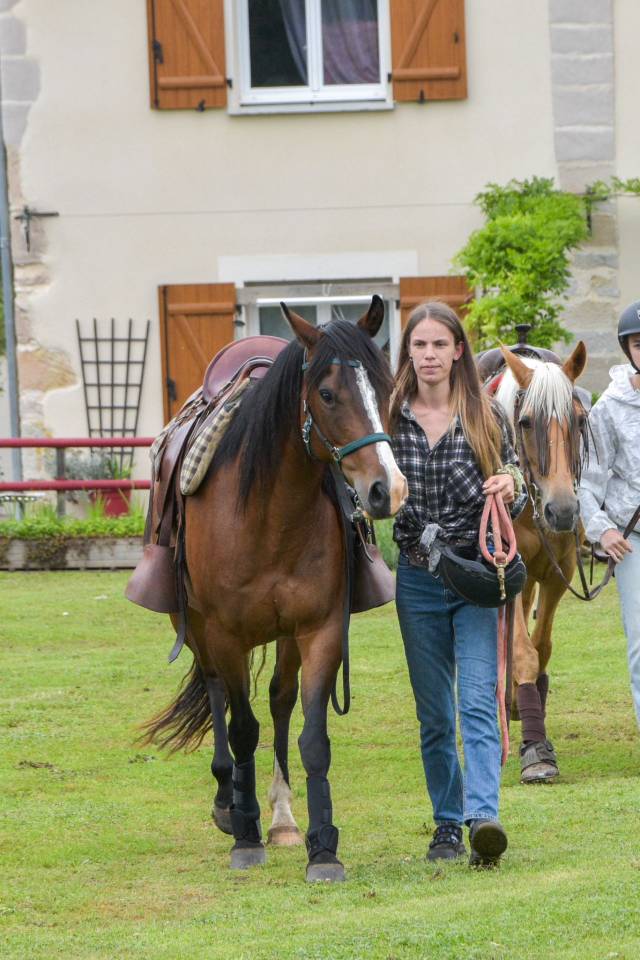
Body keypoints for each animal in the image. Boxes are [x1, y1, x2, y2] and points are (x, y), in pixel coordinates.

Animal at [140, 297, 407, 881]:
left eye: (386, 388)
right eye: (327, 394)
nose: (388, 489)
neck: (269, 513)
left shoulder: (320, 629)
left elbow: (312, 737)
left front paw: (322, 847)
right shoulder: (224, 633)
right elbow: (242, 727)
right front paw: (245, 836)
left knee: (280, 700)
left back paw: (281, 817)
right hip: (196, 630)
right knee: (218, 694)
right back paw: (229, 803)